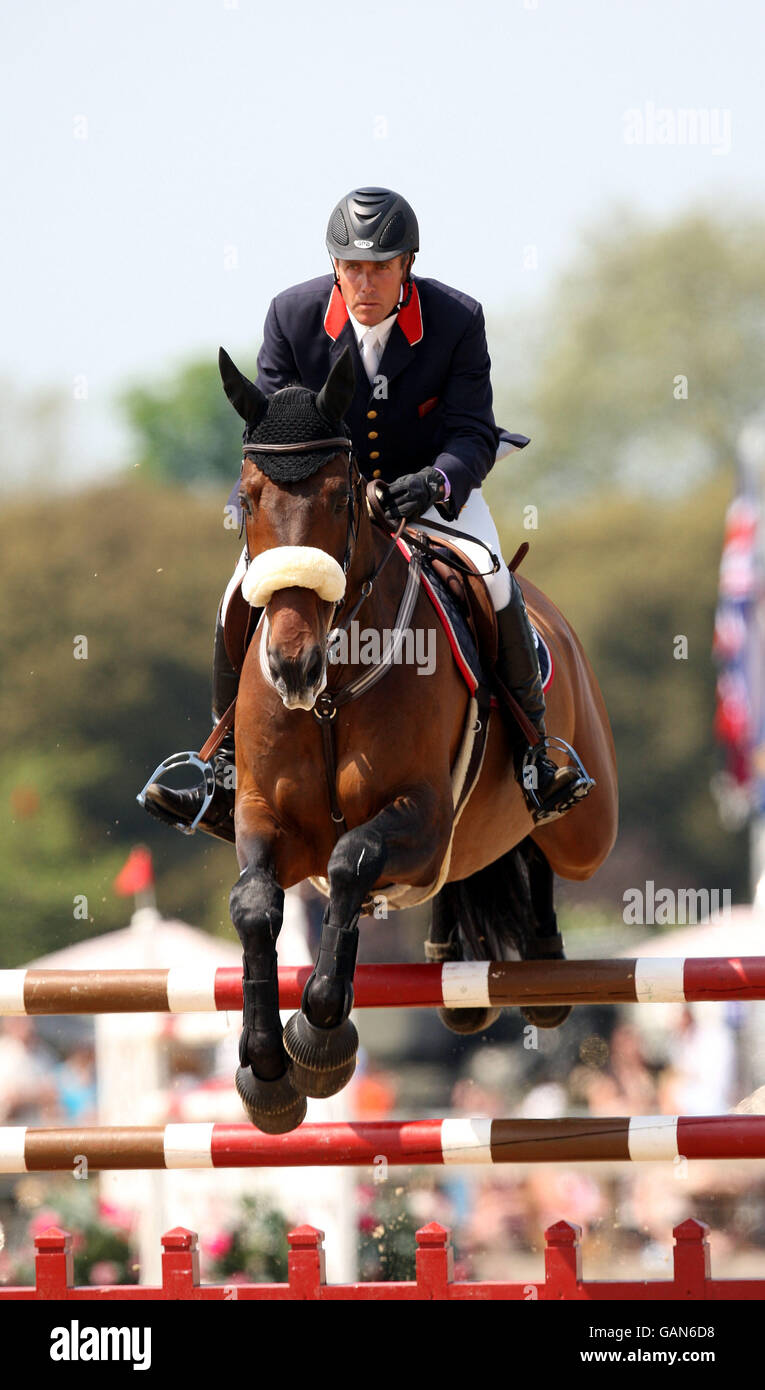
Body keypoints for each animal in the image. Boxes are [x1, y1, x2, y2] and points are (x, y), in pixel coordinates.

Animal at [218, 344, 620, 1128]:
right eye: (247, 499)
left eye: (341, 499)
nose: (291, 666)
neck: (331, 692)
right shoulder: (267, 816)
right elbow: (254, 904)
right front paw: (266, 1069)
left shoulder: (421, 815)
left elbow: (351, 860)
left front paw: (319, 1036)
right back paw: (448, 957)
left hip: (587, 831)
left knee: (547, 849)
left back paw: (545, 955)